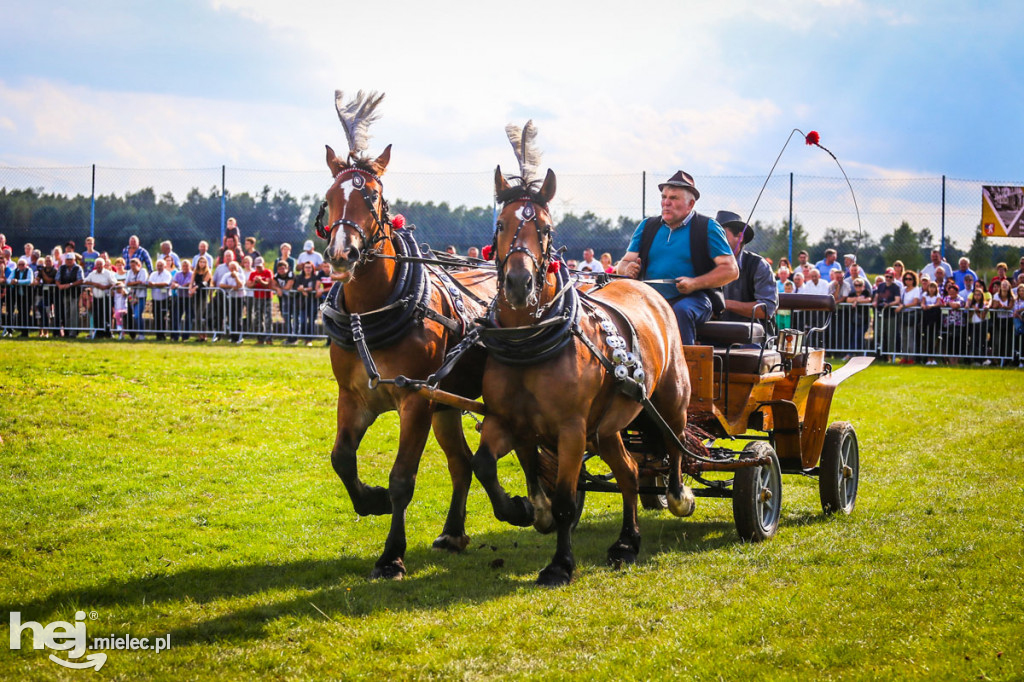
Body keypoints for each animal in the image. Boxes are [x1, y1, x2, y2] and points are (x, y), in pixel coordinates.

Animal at [321, 90, 493, 577]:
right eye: (330, 196)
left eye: (374, 197)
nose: (342, 254)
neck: (372, 310)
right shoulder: (354, 396)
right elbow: (342, 459)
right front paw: (371, 500)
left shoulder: (416, 399)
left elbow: (402, 478)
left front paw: (391, 555)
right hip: (448, 403)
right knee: (462, 463)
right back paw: (454, 532)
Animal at [471, 123, 696, 585]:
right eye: (500, 224)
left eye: (545, 229)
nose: (519, 283)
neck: (530, 340)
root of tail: (651, 290)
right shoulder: (508, 420)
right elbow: (485, 466)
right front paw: (523, 509)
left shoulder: (571, 429)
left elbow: (564, 499)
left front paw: (560, 563)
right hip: (608, 428)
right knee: (629, 473)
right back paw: (627, 542)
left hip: (670, 400)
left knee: (675, 443)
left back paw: (677, 494)